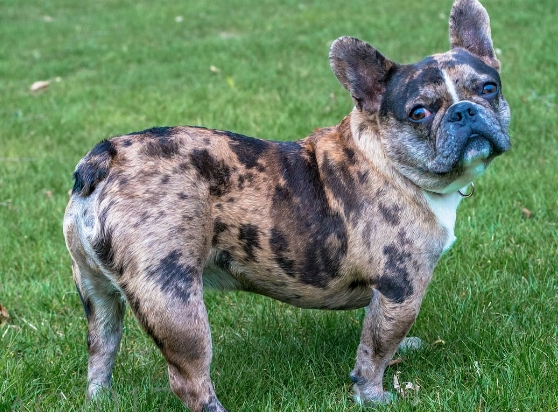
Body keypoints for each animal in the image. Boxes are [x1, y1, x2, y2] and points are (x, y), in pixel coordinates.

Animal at [64, 0, 512, 408]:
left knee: (101, 350)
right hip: (173, 298)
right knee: (189, 379)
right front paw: (373, 396)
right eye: (419, 112)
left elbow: (378, 334)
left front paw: (403, 351)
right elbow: (375, 350)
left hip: (96, 294)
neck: (387, 159)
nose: (464, 111)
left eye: (489, 88)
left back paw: (101, 398)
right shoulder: (401, 288)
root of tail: (106, 157)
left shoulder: (389, 298)